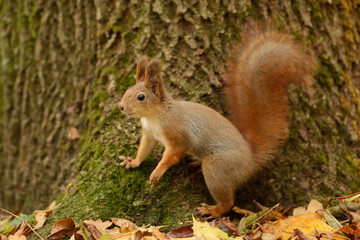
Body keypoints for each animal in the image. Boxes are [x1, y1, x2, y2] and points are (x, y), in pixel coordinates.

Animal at [118, 25, 316, 218]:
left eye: (141, 97)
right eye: (127, 90)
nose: (120, 106)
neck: (154, 116)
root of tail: (250, 160)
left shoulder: (178, 135)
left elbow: (172, 154)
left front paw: (157, 172)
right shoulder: (149, 134)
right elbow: (144, 150)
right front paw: (133, 162)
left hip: (218, 168)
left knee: (228, 202)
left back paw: (213, 210)